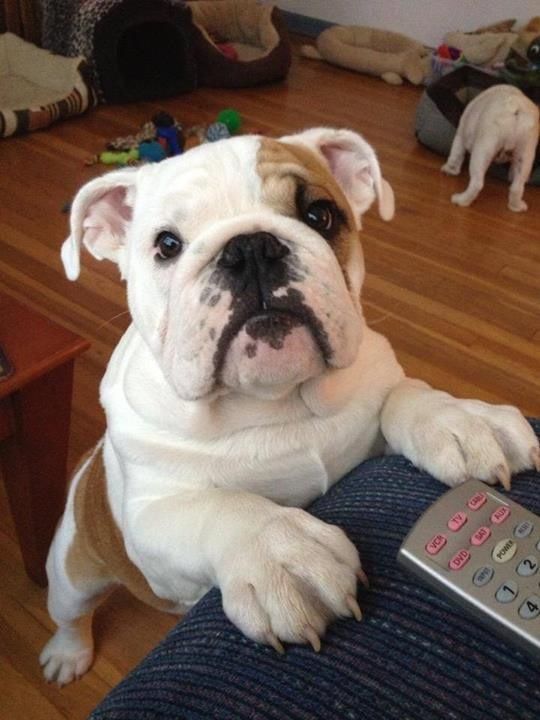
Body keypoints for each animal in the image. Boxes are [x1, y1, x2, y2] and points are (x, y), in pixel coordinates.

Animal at [39, 126, 540, 684]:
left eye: (320, 215)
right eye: (167, 245)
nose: (250, 247)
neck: (276, 403)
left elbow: (405, 395)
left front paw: (462, 419)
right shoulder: (151, 516)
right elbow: (223, 506)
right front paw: (281, 555)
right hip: (71, 573)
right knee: (72, 613)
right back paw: (66, 655)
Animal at [440, 83, 536, 211]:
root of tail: (515, 107)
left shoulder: (460, 135)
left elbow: (456, 154)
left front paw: (450, 169)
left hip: (483, 149)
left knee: (477, 183)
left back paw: (461, 200)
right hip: (525, 152)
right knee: (518, 186)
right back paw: (516, 206)